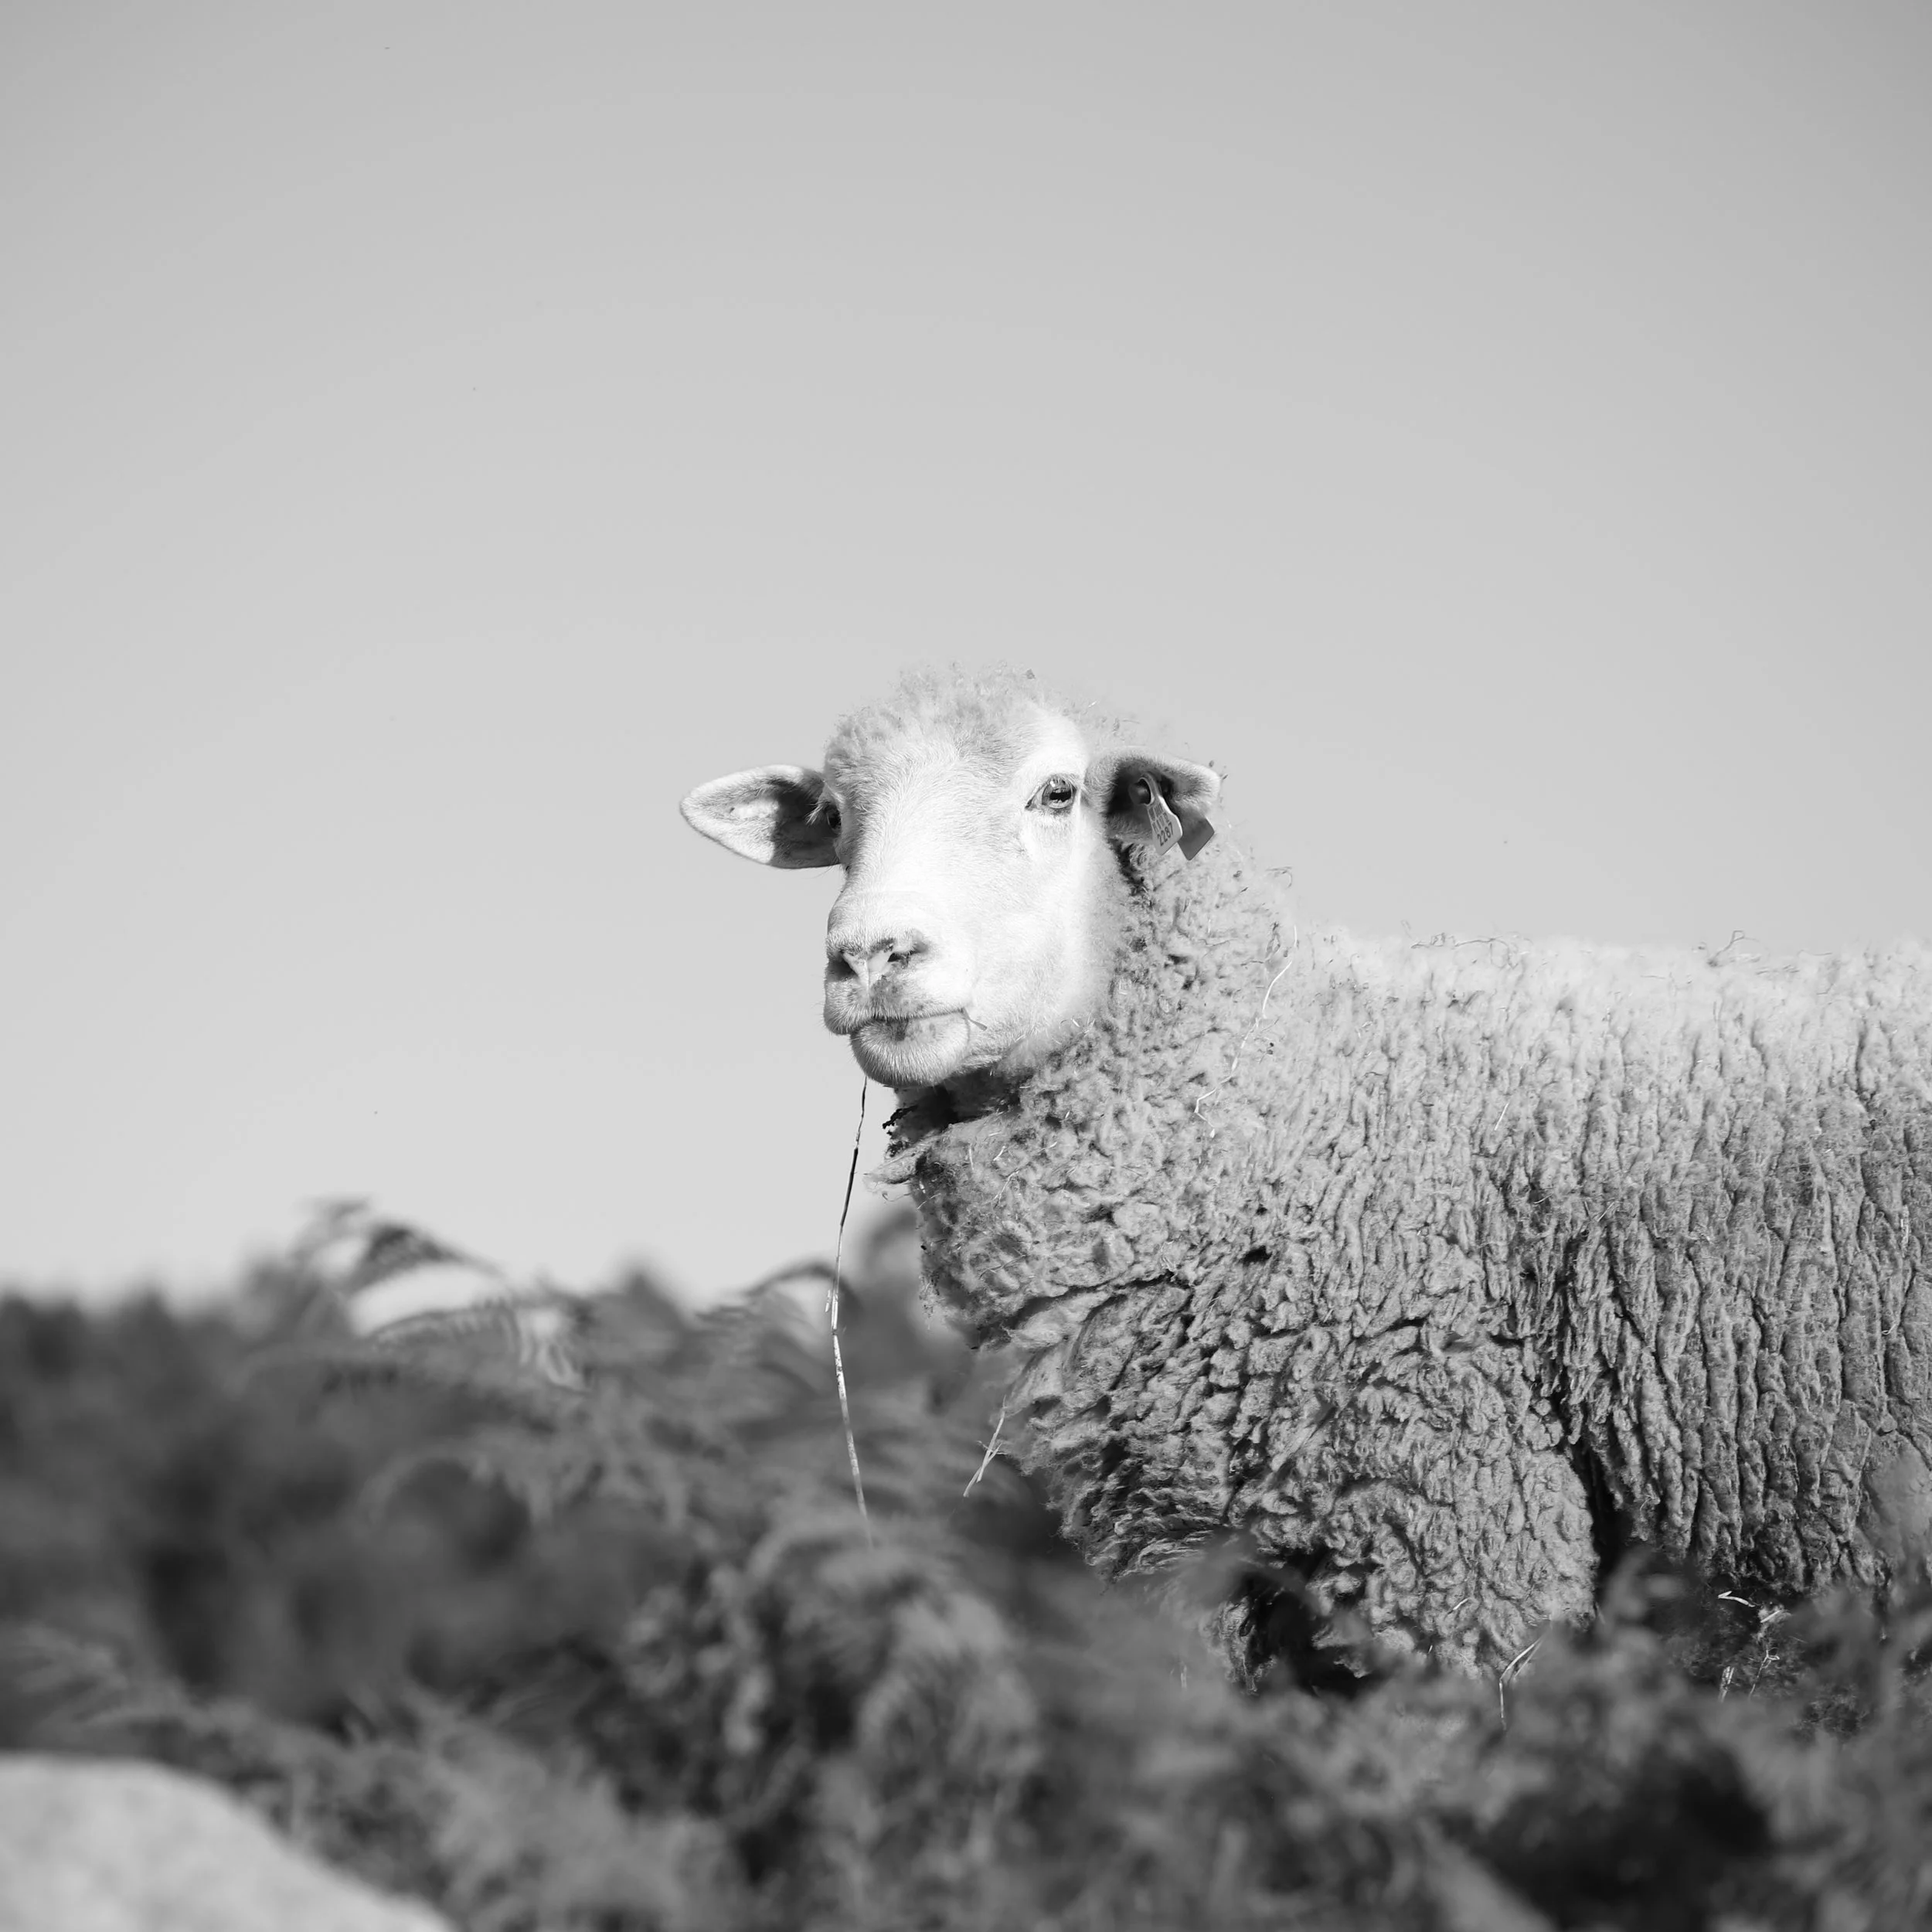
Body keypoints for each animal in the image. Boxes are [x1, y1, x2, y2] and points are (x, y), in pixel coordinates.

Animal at [681, 667, 1932, 1676]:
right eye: (834, 817)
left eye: (1056, 794)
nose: (871, 956)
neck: (1279, 1094)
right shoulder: (1203, 1559)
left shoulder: (1459, 1524)